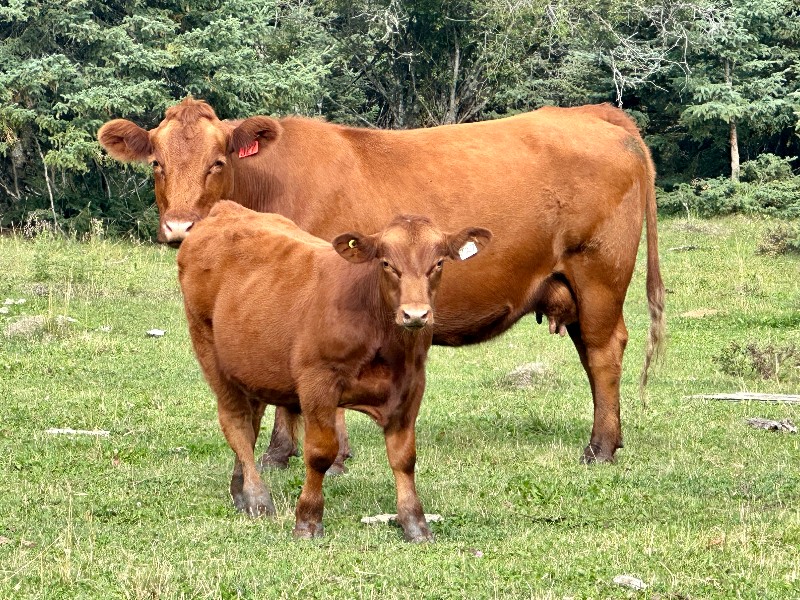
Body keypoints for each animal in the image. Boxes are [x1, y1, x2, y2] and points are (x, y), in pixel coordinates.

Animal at [99, 98, 665, 466]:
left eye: (217, 163)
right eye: (157, 164)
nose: (181, 228)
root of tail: (592, 112)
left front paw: (307, 453)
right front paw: (291, 451)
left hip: (600, 274)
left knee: (604, 351)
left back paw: (600, 448)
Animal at [177, 200, 491, 540]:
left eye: (438, 263)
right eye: (386, 263)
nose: (415, 314)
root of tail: (225, 209)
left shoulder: (411, 385)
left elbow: (404, 458)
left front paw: (415, 523)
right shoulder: (318, 382)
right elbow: (320, 453)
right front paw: (307, 520)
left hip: (251, 366)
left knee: (251, 423)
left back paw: (240, 489)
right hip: (209, 349)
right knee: (236, 422)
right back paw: (257, 497)